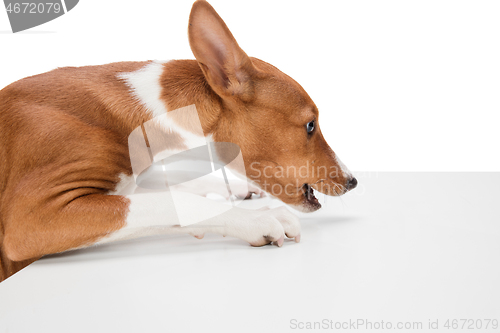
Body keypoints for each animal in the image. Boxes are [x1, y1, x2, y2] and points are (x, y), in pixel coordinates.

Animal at [1, 0, 358, 280]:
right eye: (310, 125)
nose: (353, 181)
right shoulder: (31, 218)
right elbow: (173, 201)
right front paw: (254, 219)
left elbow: (170, 188)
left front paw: (236, 192)